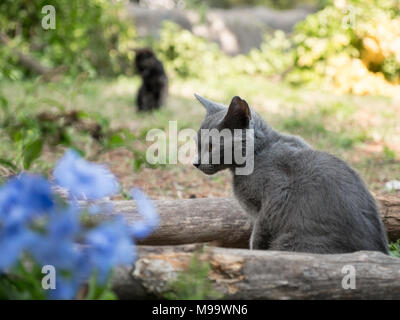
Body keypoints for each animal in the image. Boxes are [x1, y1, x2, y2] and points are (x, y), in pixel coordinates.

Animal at [192, 94, 390, 254]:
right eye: (197, 144)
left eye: (211, 146)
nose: (195, 162)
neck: (258, 152)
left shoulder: (274, 196)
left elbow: (258, 234)